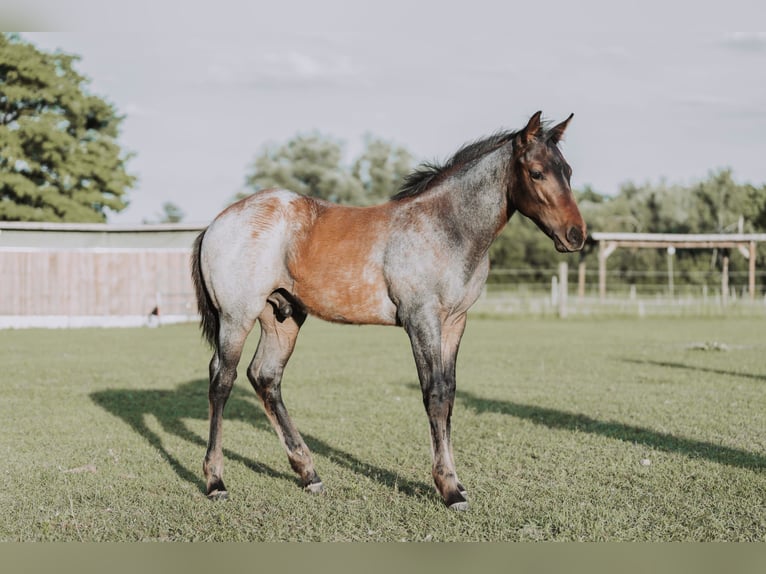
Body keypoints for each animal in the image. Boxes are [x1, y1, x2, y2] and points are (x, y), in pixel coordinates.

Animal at [192, 110, 588, 510]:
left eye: (568, 171)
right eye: (536, 172)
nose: (577, 236)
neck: (444, 228)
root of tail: (217, 223)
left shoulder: (454, 322)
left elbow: (450, 393)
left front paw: (456, 483)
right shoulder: (421, 320)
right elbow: (435, 394)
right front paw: (449, 488)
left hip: (282, 317)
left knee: (266, 377)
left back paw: (309, 474)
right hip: (236, 318)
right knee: (222, 380)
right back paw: (216, 480)